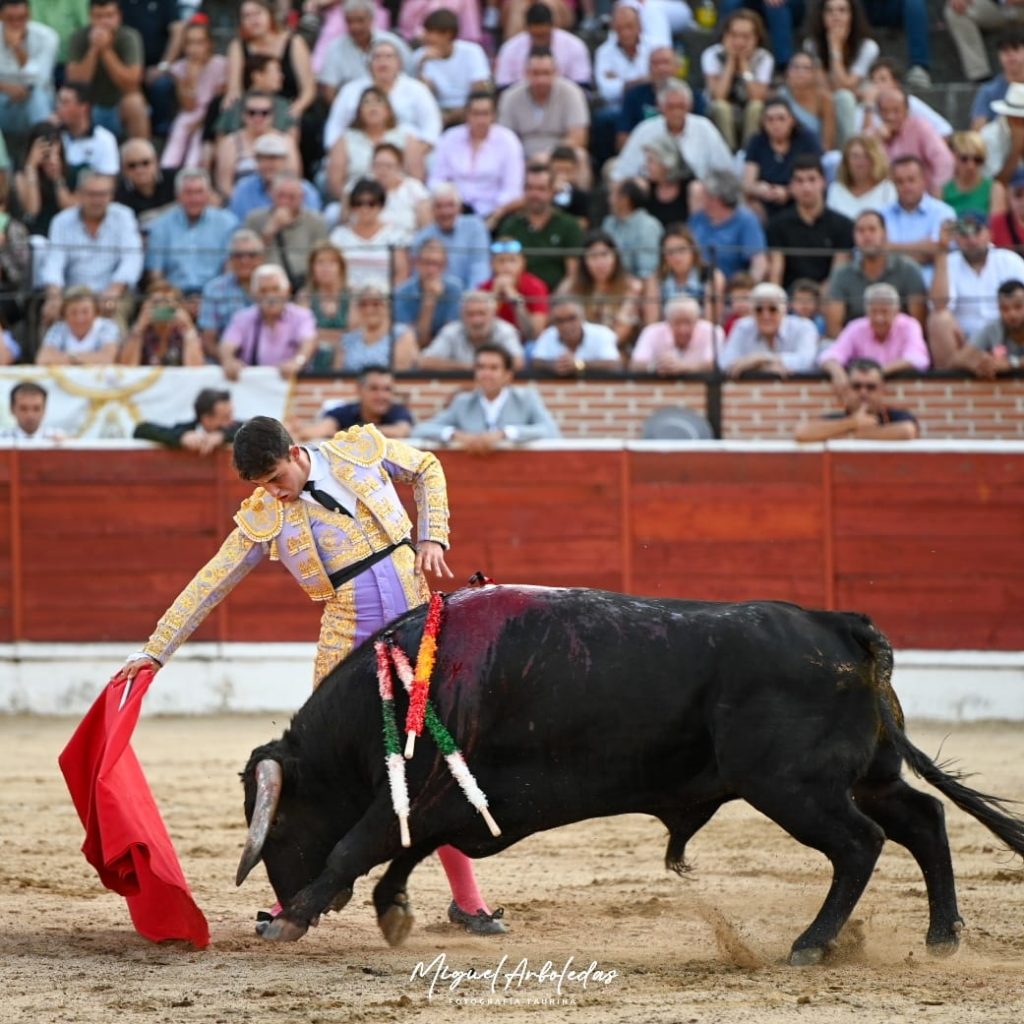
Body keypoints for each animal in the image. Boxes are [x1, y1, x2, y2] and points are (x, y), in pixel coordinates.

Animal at [234, 589, 1024, 962]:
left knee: (861, 845)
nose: (272, 905)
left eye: (279, 825)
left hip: (795, 789)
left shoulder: (425, 785)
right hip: (863, 777)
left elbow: (360, 844)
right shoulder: (455, 799)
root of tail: (838, 625)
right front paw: (390, 910)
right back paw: (942, 938)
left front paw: (298, 919)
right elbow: (407, 847)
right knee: (924, 820)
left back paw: (811, 944)